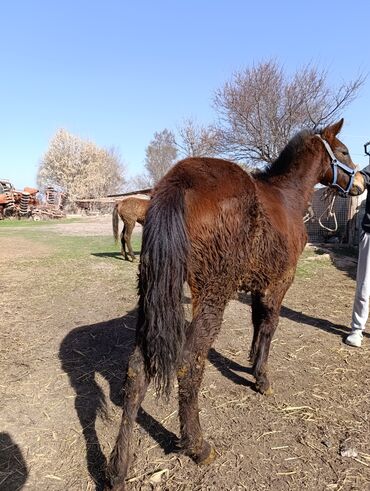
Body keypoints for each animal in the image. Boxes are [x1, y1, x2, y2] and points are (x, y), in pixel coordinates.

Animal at [105, 120, 362, 491]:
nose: (362, 182)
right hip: (213, 293)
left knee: (137, 369)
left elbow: (257, 323)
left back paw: (118, 467)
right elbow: (269, 326)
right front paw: (261, 378)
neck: (286, 198)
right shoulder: (280, 282)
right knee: (189, 363)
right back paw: (197, 445)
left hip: (152, 292)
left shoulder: (257, 285)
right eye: (343, 151)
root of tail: (178, 180)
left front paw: (251, 362)